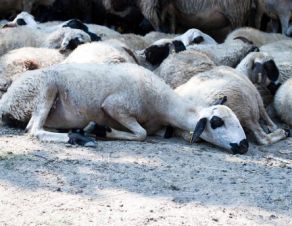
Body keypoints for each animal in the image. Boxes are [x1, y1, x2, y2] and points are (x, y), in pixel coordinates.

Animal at [0, 62, 249, 154]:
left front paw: (99, 130)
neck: (164, 105)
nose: (245, 146)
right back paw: (80, 138)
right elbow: (142, 134)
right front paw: (102, 130)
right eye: (217, 123)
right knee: (34, 130)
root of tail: (7, 101)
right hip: (46, 87)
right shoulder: (115, 106)